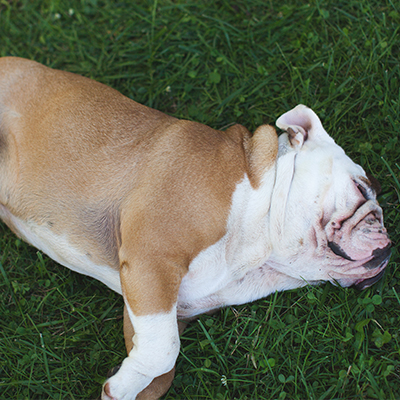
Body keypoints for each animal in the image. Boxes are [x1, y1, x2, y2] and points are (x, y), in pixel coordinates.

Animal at [0, 56, 390, 400]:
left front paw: (124, 385)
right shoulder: (152, 257)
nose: (388, 243)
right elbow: (164, 351)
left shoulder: (156, 304)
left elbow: (159, 368)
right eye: (361, 189)